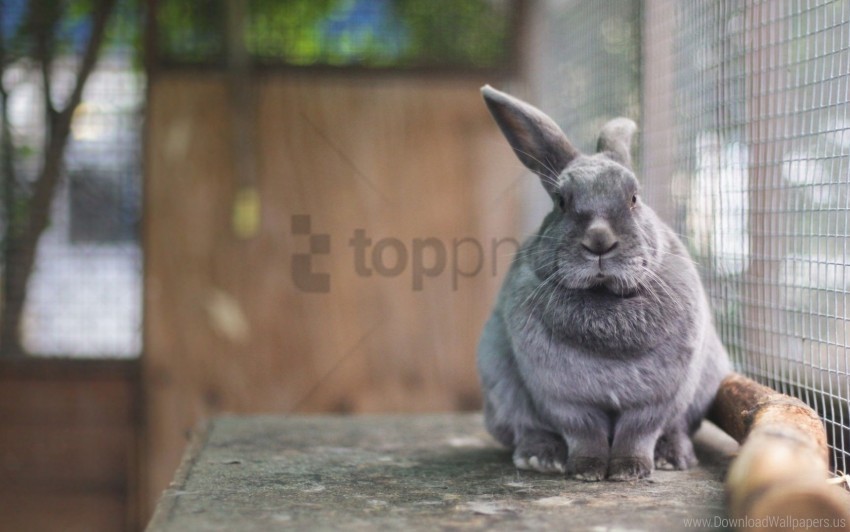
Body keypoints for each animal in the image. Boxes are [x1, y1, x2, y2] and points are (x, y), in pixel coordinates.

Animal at [477, 85, 732, 481]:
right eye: (561, 201)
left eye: (634, 198)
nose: (599, 241)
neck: (604, 297)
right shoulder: (564, 398)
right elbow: (585, 433)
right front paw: (587, 471)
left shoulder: (655, 400)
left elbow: (637, 433)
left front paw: (630, 471)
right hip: (499, 385)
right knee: (525, 426)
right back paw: (540, 458)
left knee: (677, 428)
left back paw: (673, 457)